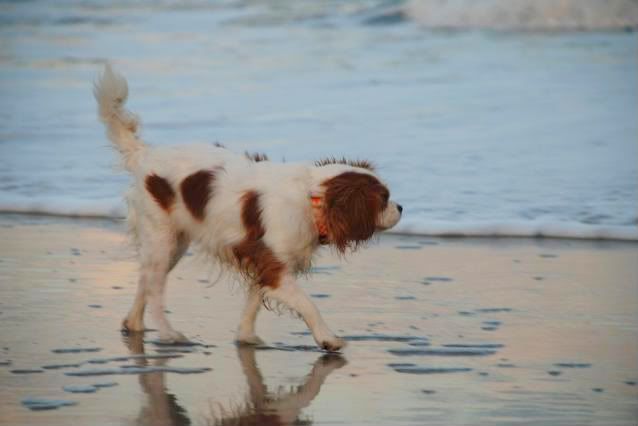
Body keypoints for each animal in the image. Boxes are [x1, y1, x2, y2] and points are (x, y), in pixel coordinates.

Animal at [94, 63, 404, 350]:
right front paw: (328, 339)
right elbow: (307, 304)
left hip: (173, 245)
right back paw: (168, 334)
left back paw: (133, 324)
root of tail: (145, 154)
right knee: (155, 290)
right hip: (162, 239)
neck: (311, 198)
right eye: (384, 199)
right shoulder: (276, 266)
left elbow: (253, 303)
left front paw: (246, 336)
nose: (401, 207)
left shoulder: (262, 258)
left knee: (146, 281)